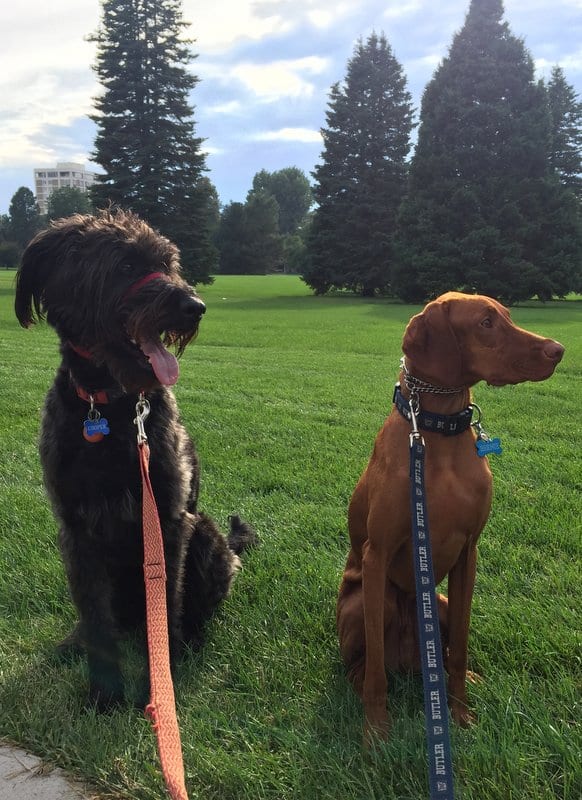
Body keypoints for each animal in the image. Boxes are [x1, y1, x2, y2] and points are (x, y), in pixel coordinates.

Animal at [338, 290, 564, 740]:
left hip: (437, 602)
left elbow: (459, 645)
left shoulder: (468, 553)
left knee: (438, 653)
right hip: (371, 601)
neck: (437, 432)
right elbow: (375, 672)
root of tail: (410, 661)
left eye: (506, 316)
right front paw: (376, 730)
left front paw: (459, 713)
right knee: (365, 664)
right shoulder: (377, 553)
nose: (559, 350)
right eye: (485, 323)